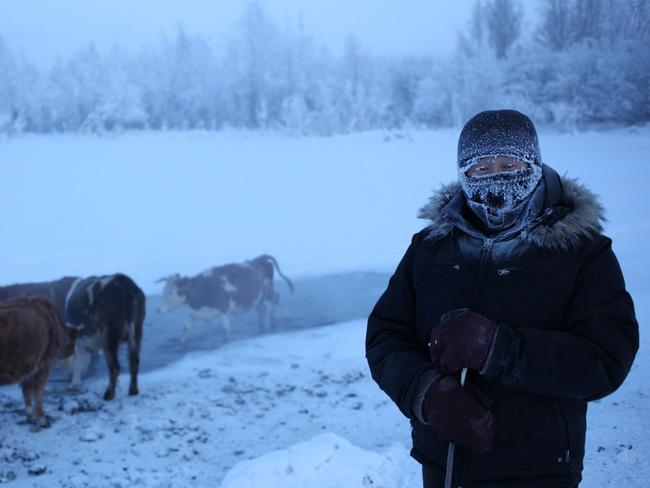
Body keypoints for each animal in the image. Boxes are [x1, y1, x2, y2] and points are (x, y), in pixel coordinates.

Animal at [0, 294, 76, 428]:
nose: (73, 351)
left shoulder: (27, 369)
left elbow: (27, 392)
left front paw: (30, 416)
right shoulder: (44, 365)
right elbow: (38, 393)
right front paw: (42, 419)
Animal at [156, 255, 292, 344]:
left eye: (171, 292)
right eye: (163, 290)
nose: (158, 310)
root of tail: (259, 259)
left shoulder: (224, 311)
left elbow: (226, 332)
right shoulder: (196, 313)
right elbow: (186, 328)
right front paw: (181, 342)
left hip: (268, 291)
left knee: (275, 299)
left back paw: (272, 319)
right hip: (259, 299)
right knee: (262, 308)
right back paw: (262, 325)